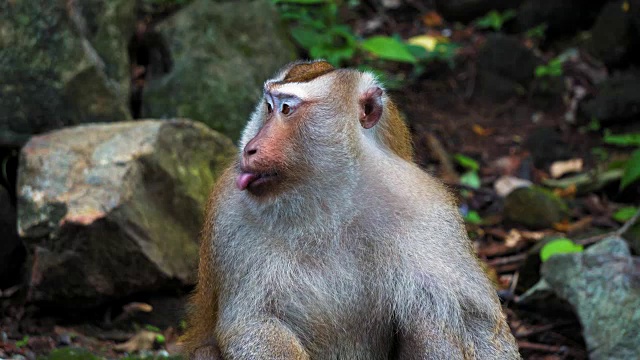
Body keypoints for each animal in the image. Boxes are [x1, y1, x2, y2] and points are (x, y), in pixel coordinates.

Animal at [182, 60, 524, 358]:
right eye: (268, 107)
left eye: (287, 109)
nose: (250, 148)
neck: (330, 202)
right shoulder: (231, 213)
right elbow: (253, 325)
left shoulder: (425, 209)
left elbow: (474, 321)